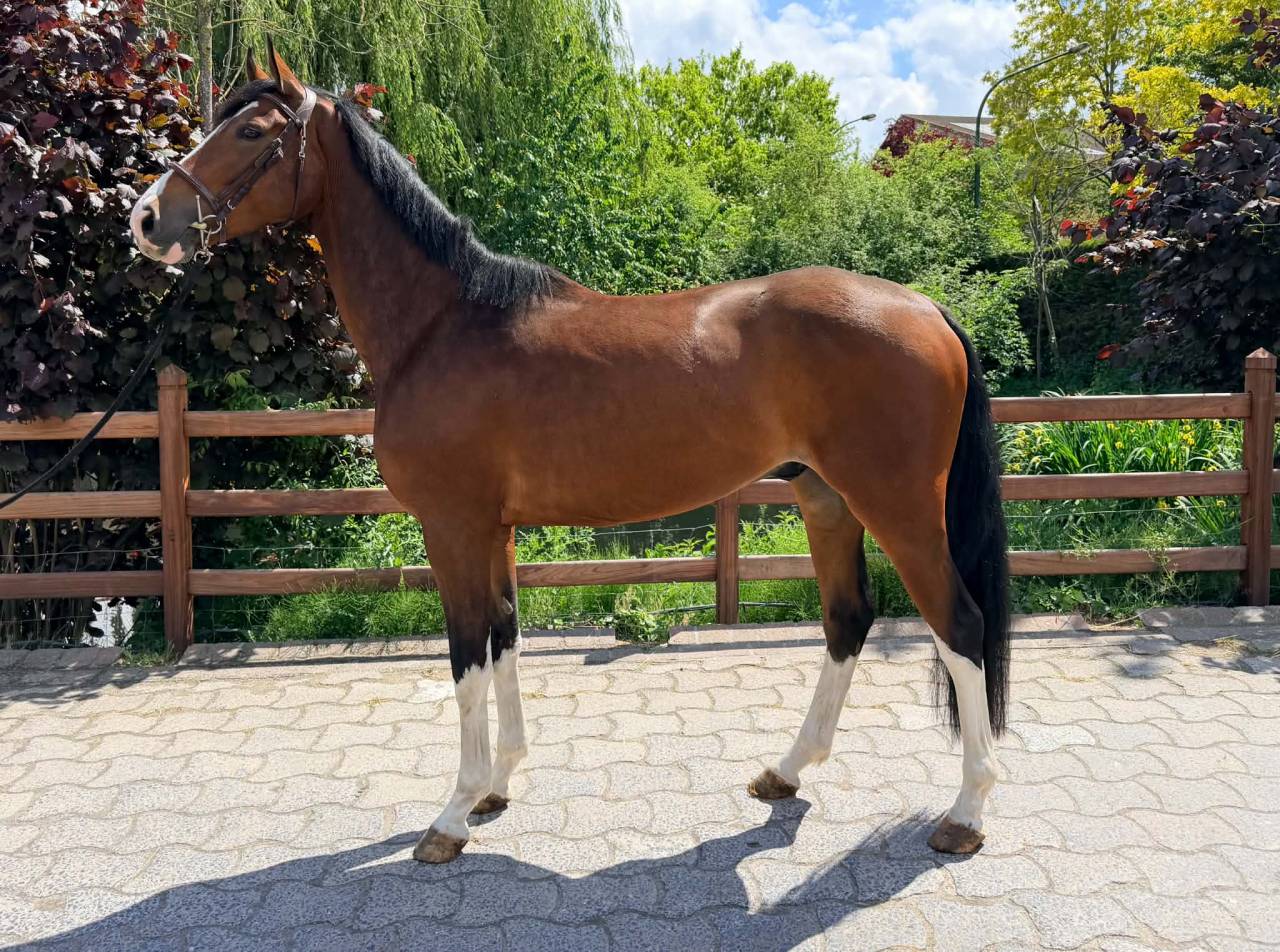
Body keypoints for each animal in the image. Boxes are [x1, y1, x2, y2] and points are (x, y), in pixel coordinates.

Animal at [130, 44, 1011, 864]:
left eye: (251, 131)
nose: (146, 219)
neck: (443, 325)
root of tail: (926, 306)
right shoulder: (494, 530)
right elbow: (504, 636)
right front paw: (496, 786)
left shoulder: (452, 527)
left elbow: (466, 655)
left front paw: (451, 816)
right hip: (824, 497)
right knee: (847, 619)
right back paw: (786, 772)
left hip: (897, 505)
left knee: (959, 624)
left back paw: (966, 814)